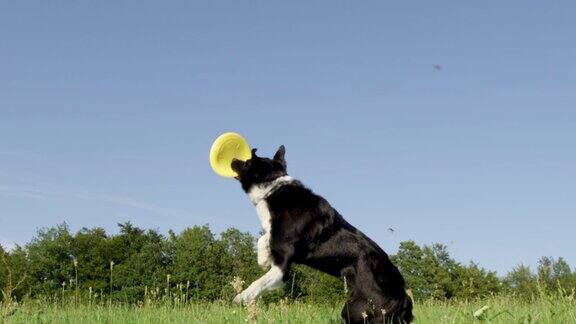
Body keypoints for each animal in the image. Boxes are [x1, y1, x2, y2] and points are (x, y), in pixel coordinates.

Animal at [232, 147, 412, 324]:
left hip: (356, 308)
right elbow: (265, 237)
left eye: (247, 162)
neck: (272, 188)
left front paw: (241, 298)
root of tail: (403, 296)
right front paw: (263, 258)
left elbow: (258, 284)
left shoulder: (281, 268)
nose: (233, 159)